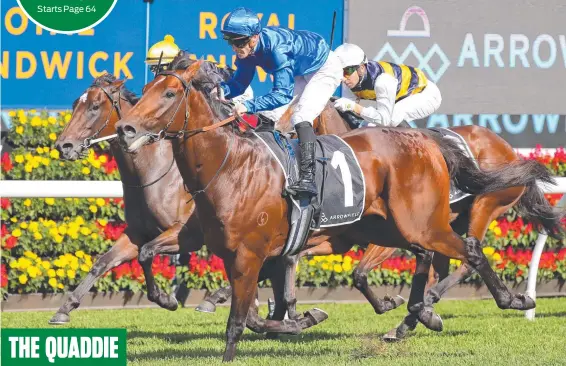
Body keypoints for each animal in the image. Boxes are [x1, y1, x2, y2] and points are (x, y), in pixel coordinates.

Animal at [115, 60, 544, 360]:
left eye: (170, 94)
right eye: (144, 90)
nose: (125, 129)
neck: (230, 165)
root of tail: (427, 142)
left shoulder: (251, 254)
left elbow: (239, 322)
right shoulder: (224, 248)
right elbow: (155, 255)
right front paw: (303, 318)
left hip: (430, 222)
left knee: (468, 250)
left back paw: (513, 300)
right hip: (388, 228)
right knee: (431, 257)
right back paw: (418, 314)